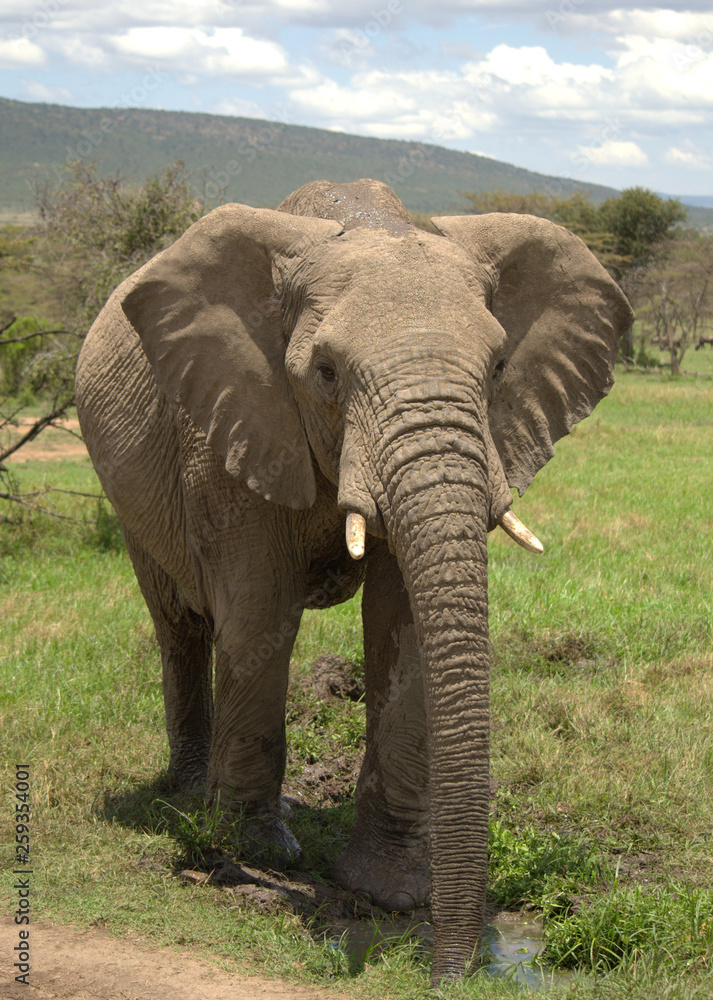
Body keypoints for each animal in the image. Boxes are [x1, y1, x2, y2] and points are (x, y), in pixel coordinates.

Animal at [75, 177, 634, 984]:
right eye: (326, 372)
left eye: (499, 368)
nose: (452, 974)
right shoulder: (231, 421)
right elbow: (261, 616)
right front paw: (253, 855)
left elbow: (403, 631)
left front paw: (391, 890)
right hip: (125, 487)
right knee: (178, 622)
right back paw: (185, 794)